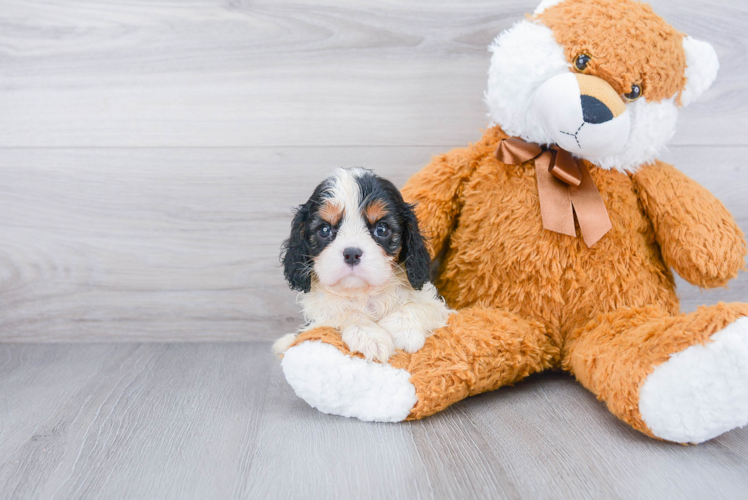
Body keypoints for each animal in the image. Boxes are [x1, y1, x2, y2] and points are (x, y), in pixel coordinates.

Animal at [274, 167, 450, 360]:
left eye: (382, 229)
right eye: (325, 229)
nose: (351, 254)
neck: (363, 293)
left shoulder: (439, 307)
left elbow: (420, 306)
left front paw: (405, 330)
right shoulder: (320, 316)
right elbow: (344, 312)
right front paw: (370, 336)